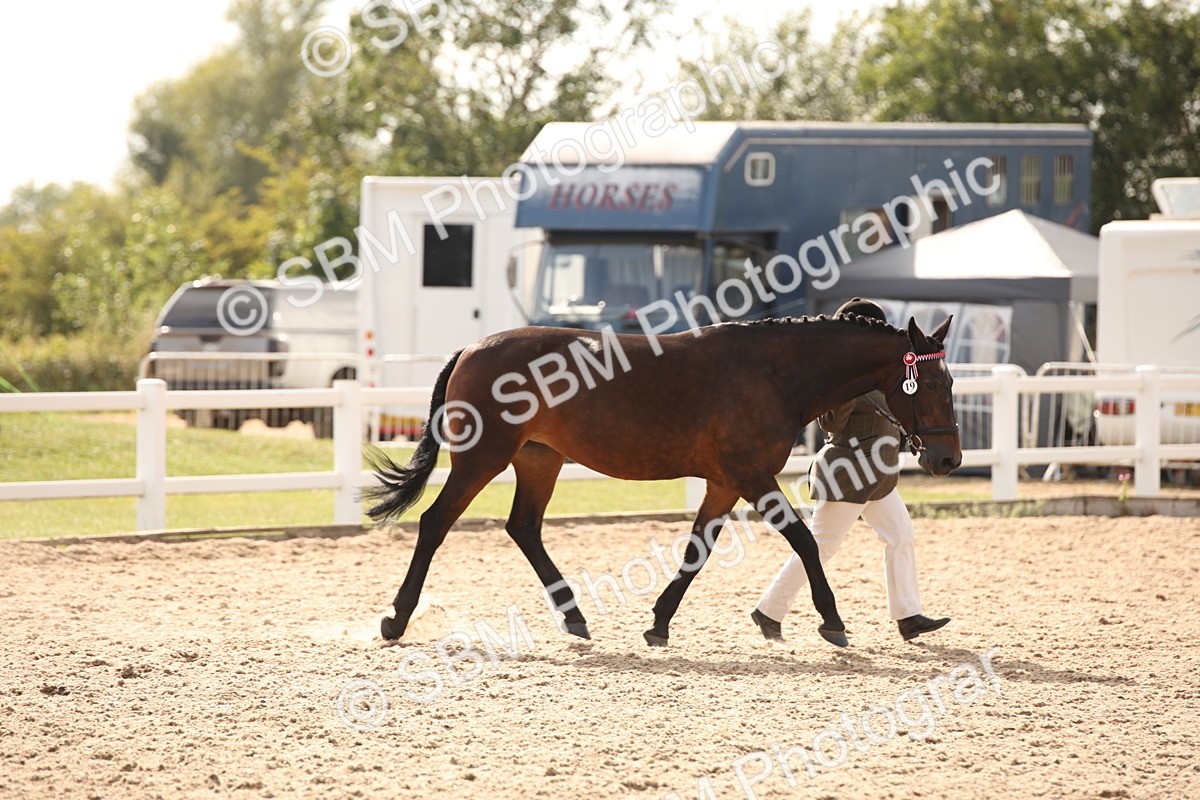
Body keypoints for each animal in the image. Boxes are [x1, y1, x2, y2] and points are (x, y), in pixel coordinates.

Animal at [362, 314, 961, 648]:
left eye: (950, 379)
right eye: (931, 382)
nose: (949, 458)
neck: (773, 372)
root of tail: (471, 348)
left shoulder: (724, 483)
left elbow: (698, 551)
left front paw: (659, 623)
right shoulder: (752, 475)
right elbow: (804, 540)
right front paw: (832, 620)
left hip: (538, 459)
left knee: (524, 528)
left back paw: (575, 617)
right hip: (481, 458)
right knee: (436, 523)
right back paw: (396, 619)